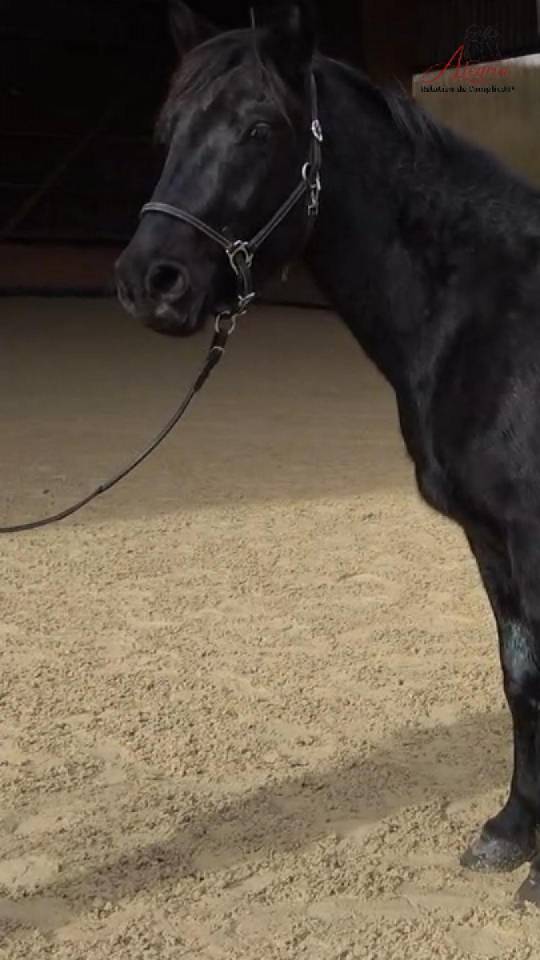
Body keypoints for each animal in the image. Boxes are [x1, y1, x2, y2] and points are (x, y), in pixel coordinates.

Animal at [116, 1, 540, 905]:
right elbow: (519, 677)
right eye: (169, 128)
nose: (149, 281)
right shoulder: (489, 540)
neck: (493, 317)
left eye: (258, 127)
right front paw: (510, 833)